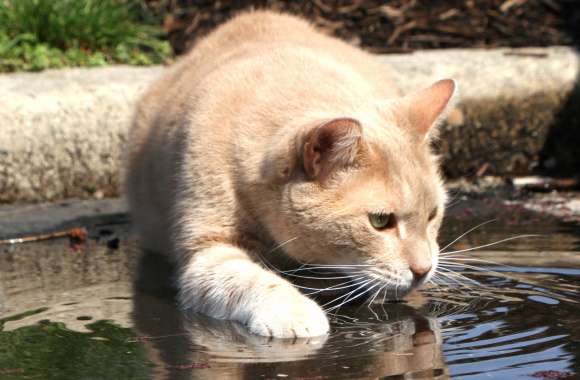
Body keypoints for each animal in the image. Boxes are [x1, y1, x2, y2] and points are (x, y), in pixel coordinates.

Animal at [127, 10, 458, 338]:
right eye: (380, 221)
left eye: (432, 215)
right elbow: (250, 280)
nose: (423, 270)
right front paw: (293, 312)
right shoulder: (207, 251)